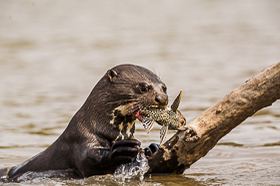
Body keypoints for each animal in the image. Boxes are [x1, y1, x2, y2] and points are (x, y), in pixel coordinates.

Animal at [1, 64, 168, 182]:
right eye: (144, 87)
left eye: (164, 87)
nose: (162, 98)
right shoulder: (80, 138)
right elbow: (89, 162)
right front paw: (122, 149)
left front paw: (152, 147)